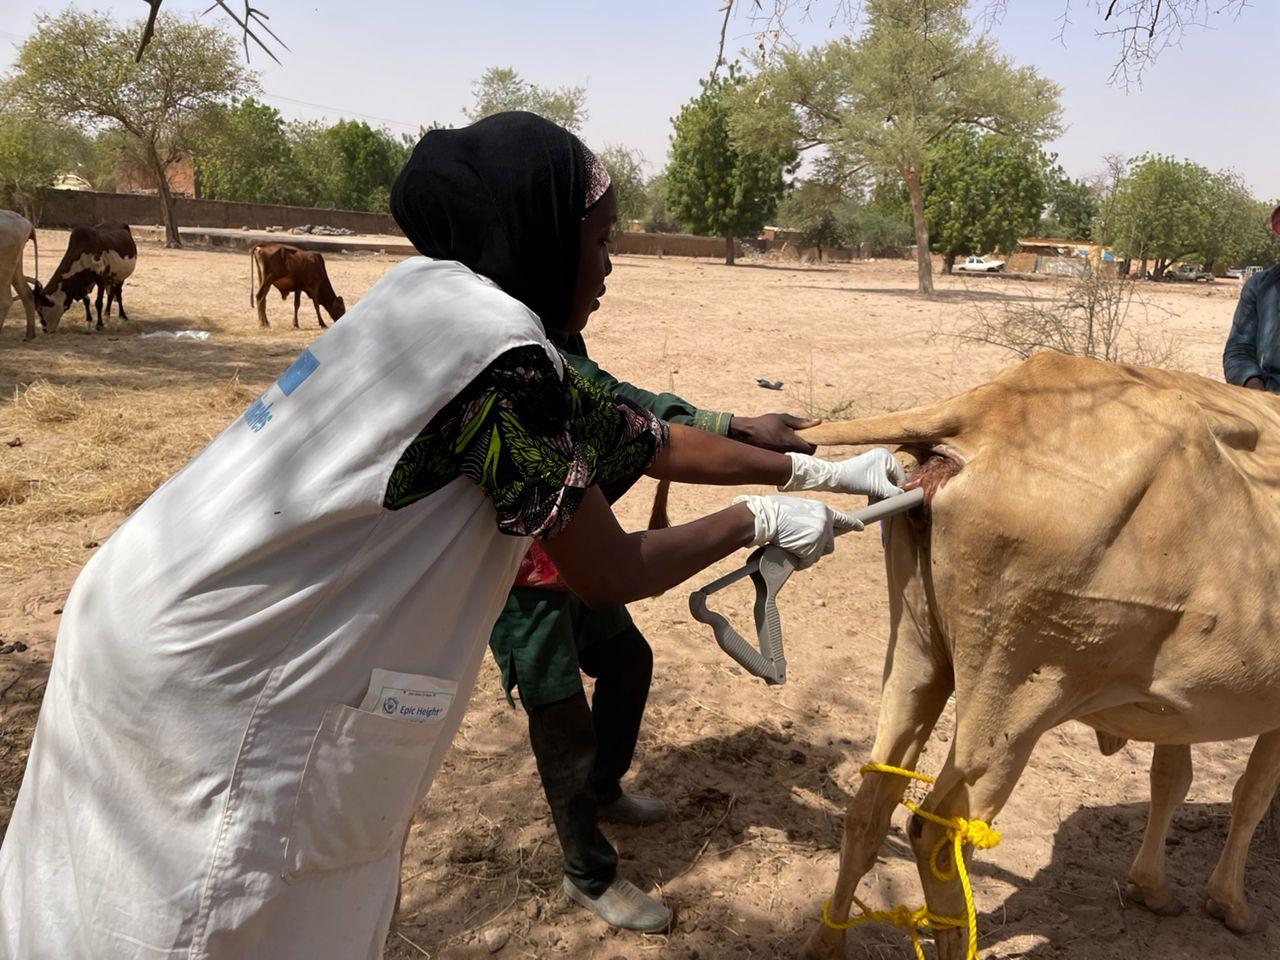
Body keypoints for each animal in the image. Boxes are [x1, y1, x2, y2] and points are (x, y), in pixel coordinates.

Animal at [0, 209, 39, 343]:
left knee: (6, 300)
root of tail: (29, 224)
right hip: (17, 256)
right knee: (26, 293)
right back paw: (29, 336)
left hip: (6, 257)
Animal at [803, 353, 1280, 960]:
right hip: (1019, 693)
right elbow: (1250, 794)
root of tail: (993, 406)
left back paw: (825, 943)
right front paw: (1231, 903)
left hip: (916, 653)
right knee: (939, 834)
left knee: (870, 806)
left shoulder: (1179, 708)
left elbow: (1172, 778)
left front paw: (1152, 887)